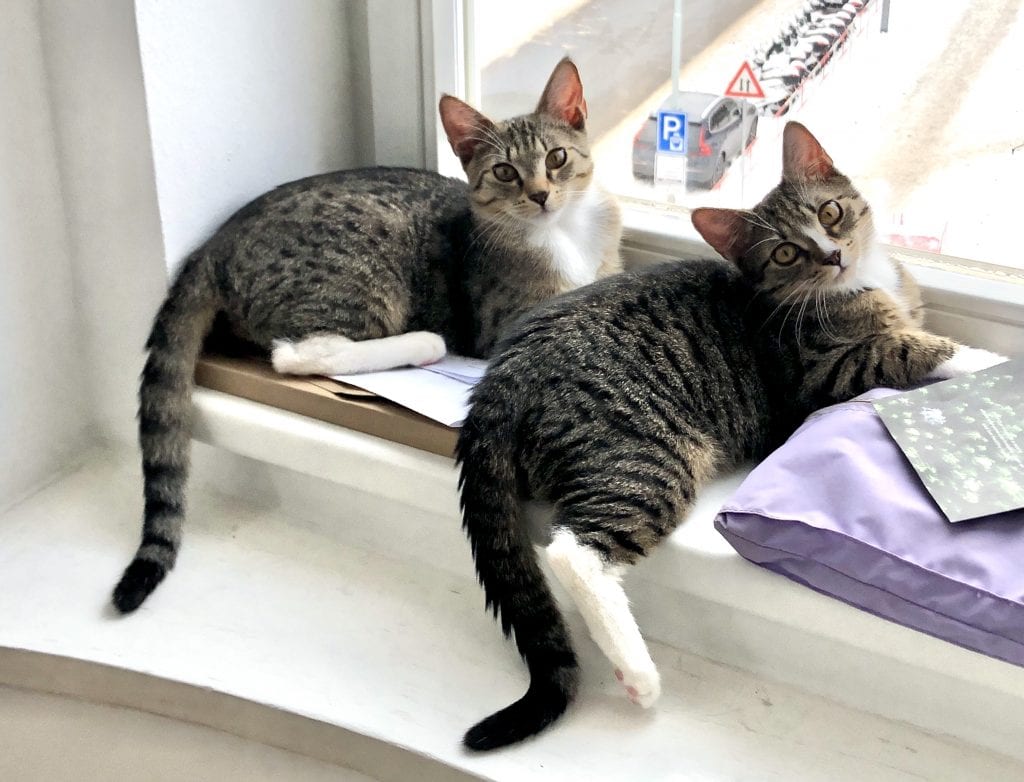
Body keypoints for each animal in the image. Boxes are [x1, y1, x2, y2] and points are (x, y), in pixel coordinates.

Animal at [114, 58, 622, 614]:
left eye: (557, 157)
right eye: (504, 172)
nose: (540, 195)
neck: (564, 235)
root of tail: (215, 244)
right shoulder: (504, 322)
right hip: (366, 273)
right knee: (298, 353)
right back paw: (421, 344)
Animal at [458, 123, 1007, 753]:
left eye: (831, 211)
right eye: (786, 252)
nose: (833, 254)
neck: (862, 285)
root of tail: (503, 374)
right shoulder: (823, 374)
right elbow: (910, 349)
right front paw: (989, 359)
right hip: (647, 456)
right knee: (573, 551)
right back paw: (637, 672)